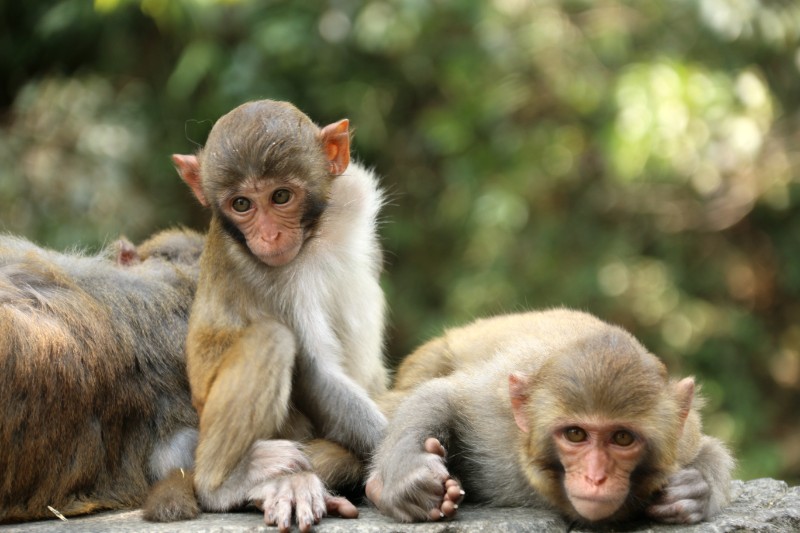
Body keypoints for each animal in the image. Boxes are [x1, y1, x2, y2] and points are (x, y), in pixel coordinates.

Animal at [368, 310, 732, 524]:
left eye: (622, 438)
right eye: (575, 434)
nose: (596, 478)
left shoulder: (684, 439)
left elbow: (708, 448)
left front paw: (693, 491)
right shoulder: (496, 413)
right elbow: (445, 395)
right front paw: (411, 474)